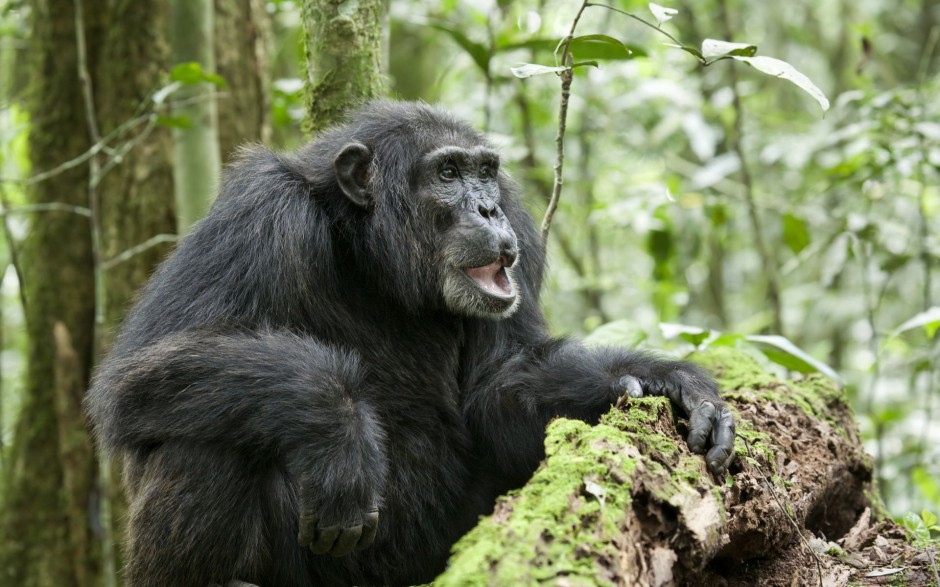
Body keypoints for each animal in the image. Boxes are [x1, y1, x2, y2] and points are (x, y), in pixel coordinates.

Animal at [86, 101, 736, 587]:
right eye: (447, 174)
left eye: (484, 172)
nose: (488, 207)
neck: (371, 253)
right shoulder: (255, 213)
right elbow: (139, 370)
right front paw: (339, 431)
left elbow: (499, 386)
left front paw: (653, 377)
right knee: (203, 438)